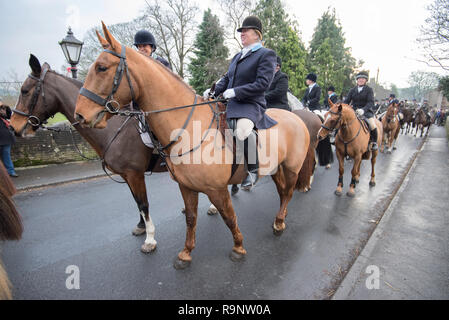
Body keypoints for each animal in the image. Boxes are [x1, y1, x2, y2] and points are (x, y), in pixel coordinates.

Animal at [9, 54, 166, 255]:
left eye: (25, 90)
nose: (13, 126)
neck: (114, 129)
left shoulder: (134, 174)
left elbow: (143, 204)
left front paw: (150, 238)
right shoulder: (128, 175)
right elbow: (137, 202)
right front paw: (141, 227)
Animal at [74, 22, 312, 268]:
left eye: (101, 68)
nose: (80, 115)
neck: (187, 128)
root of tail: (296, 117)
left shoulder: (216, 189)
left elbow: (229, 217)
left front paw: (238, 247)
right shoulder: (186, 187)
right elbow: (190, 218)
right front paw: (186, 252)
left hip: (292, 168)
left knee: (288, 192)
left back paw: (279, 222)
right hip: (275, 168)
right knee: (282, 191)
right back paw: (279, 219)